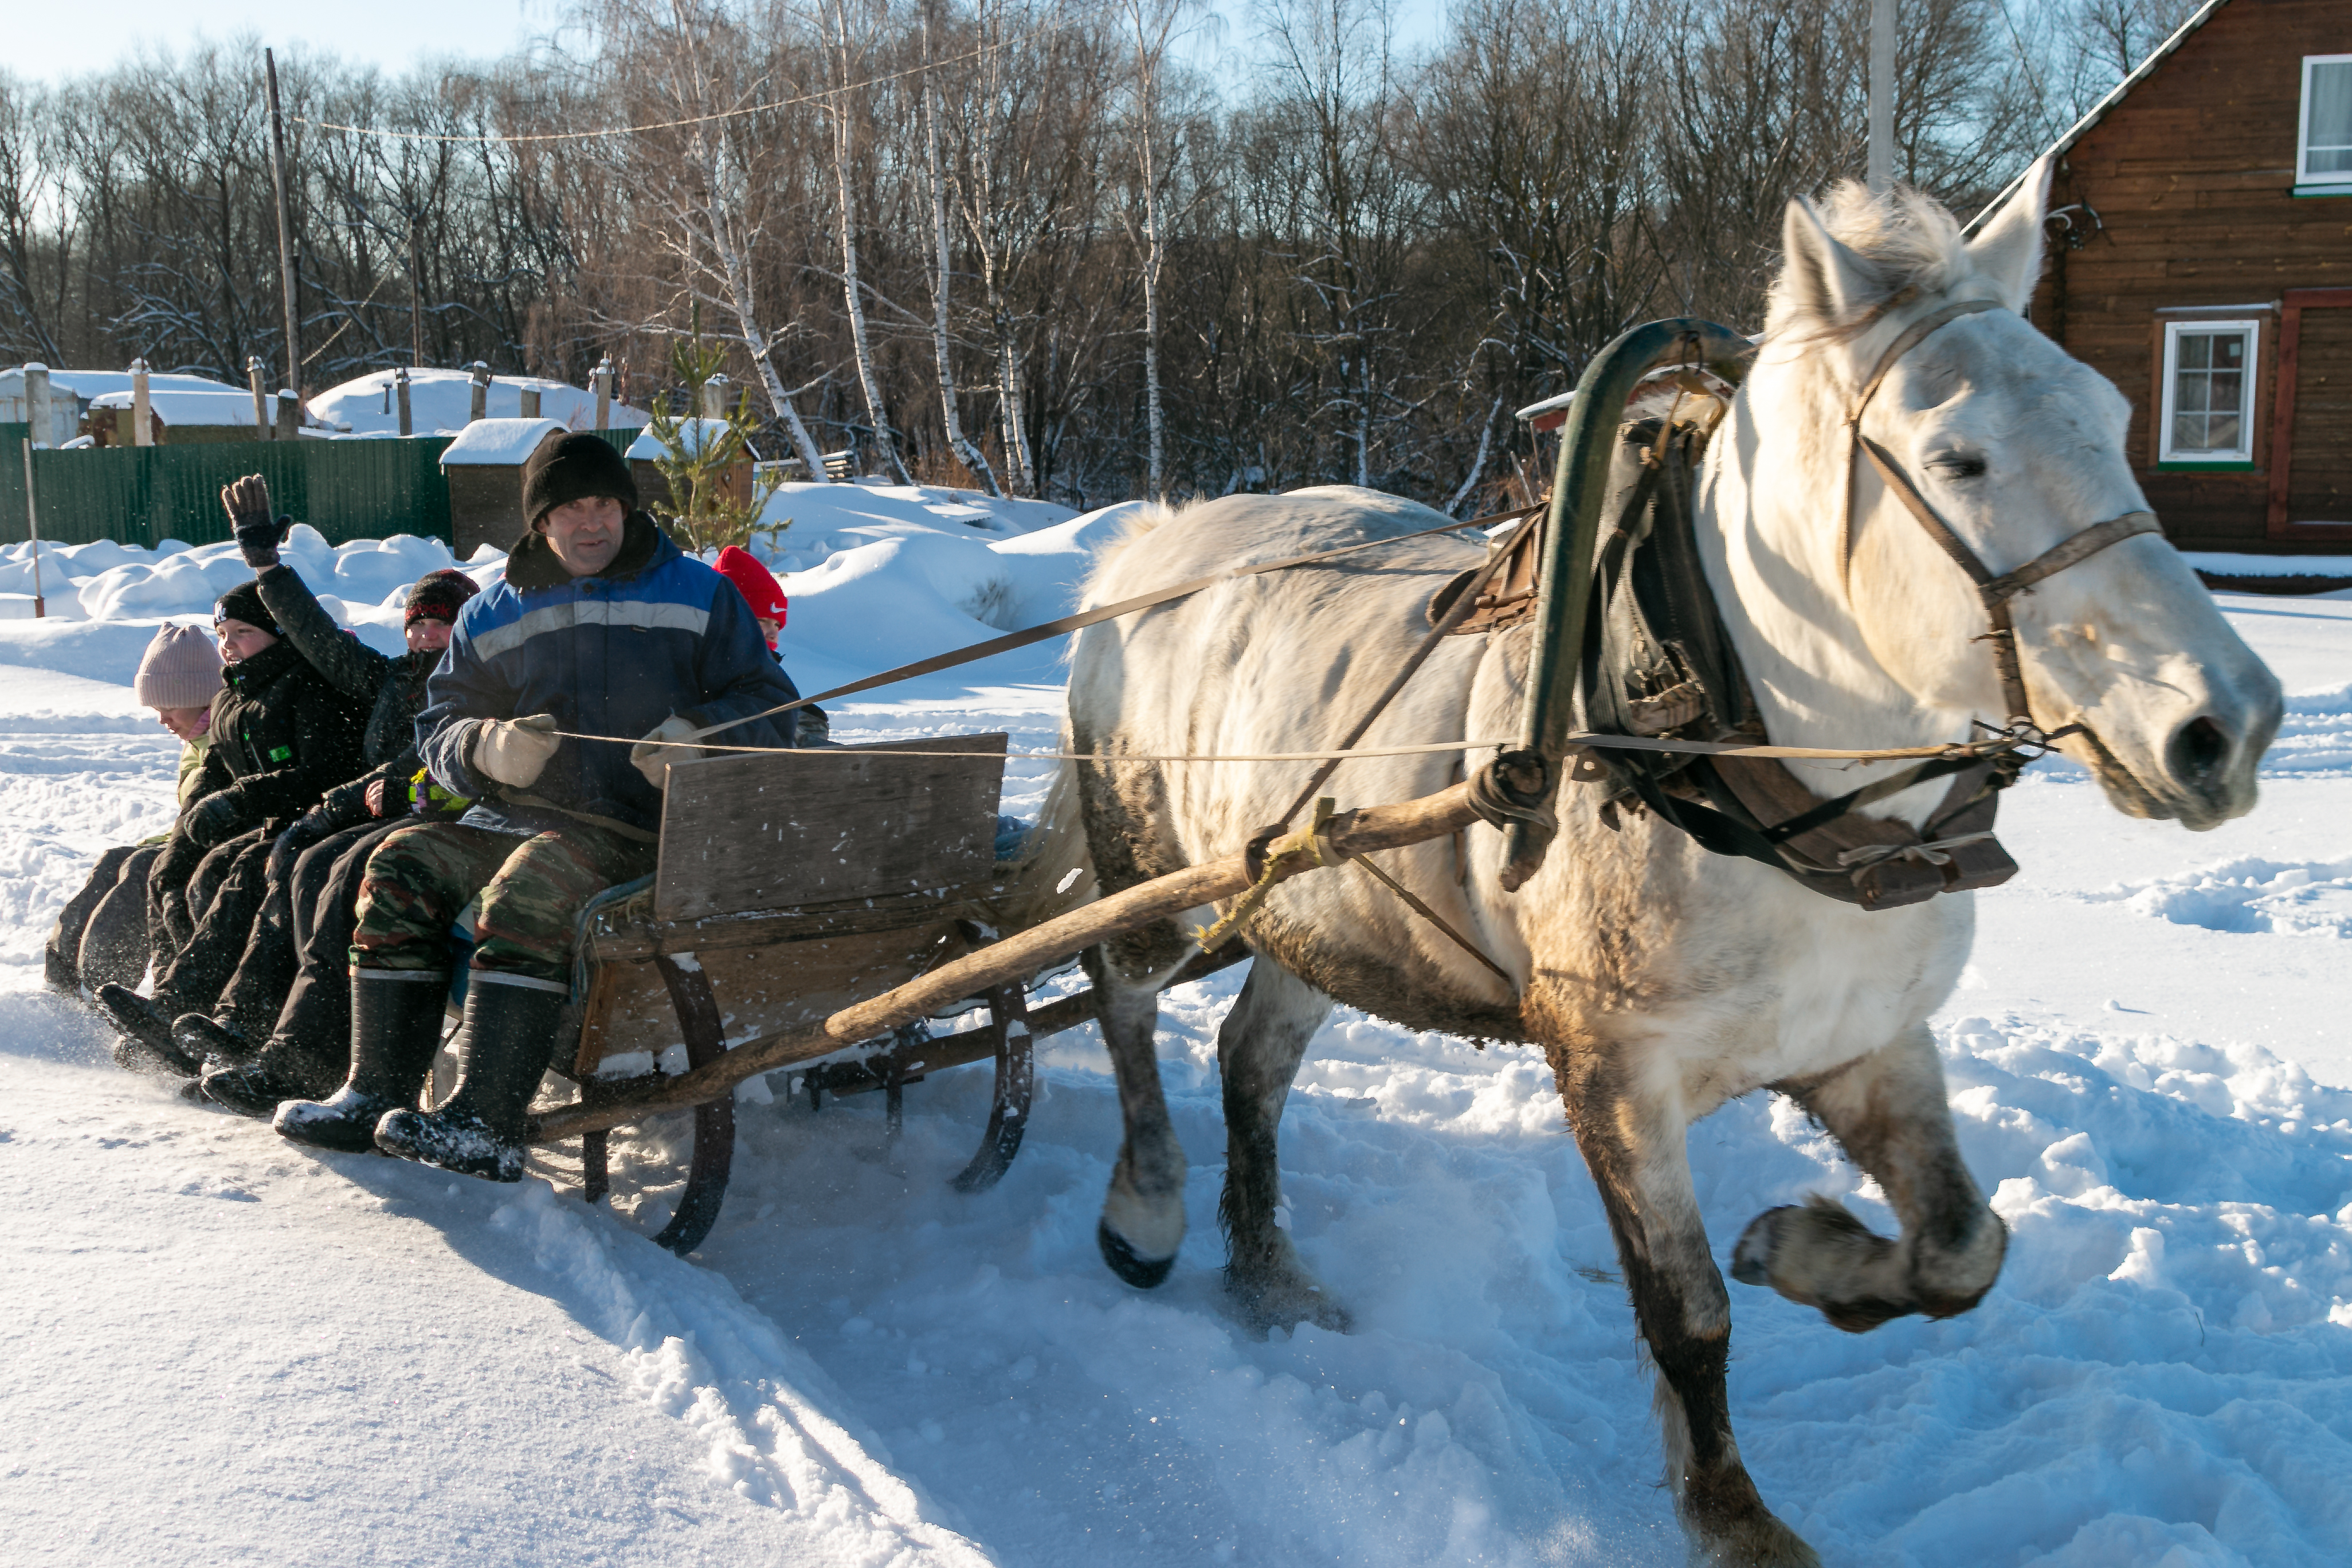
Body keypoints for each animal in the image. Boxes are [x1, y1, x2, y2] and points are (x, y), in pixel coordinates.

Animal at [1034, 166, 2276, 1561]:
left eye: (2116, 418)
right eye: (1958, 458)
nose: (2226, 725)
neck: (1740, 764)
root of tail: (1146, 542)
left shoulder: (1868, 1039)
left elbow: (1964, 1245)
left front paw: (1804, 1251)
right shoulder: (1615, 1071)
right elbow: (1686, 1312)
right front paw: (1736, 1518)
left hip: (1313, 898)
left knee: (1252, 1062)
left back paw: (1266, 1276)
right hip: (1149, 862)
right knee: (1124, 1000)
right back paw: (1146, 1209)